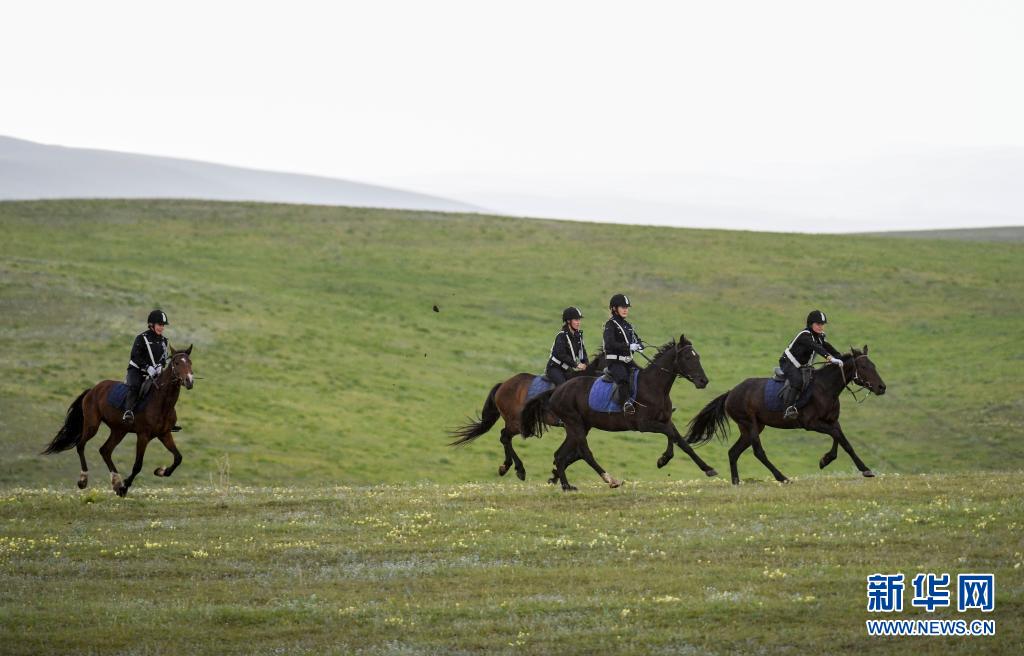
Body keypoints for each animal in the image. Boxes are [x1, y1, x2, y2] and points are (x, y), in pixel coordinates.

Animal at [44, 345, 196, 493]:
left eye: (190, 362)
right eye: (176, 363)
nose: (189, 381)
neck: (161, 402)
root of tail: (93, 389)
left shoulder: (164, 434)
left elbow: (178, 458)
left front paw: (160, 471)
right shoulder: (143, 436)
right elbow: (138, 465)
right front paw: (124, 487)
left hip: (119, 430)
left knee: (105, 450)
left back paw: (116, 481)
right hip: (92, 425)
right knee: (81, 445)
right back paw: (84, 480)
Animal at [444, 352, 602, 480]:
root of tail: (503, 385)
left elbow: (574, 452)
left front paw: (556, 473)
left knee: (505, 437)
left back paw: (506, 467)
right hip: (517, 423)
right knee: (504, 437)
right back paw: (518, 470)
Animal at [516, 335, 716, 489]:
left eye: (697, 356)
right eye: (688, 358)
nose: (703, 381)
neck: (654, 386)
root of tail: (557, 390)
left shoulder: (666, 420)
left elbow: (682, 442)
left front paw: (707, 468)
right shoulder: (644, 425)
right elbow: (670, 435)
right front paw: (664, 459)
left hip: (578, 427)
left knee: (560, 455)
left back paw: (566, 486)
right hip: (575, 425)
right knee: (584, 453)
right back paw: (610, 479)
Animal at [688, 345, 888, 483]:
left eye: (873, 365)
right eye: (864, 367)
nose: (881, 387)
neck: (825, 388)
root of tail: (731, 393)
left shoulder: (832, 421)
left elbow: (842, 441)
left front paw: (828, 460)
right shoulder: (812, 424)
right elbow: (839, 437)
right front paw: (859, 467)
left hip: (752, 427)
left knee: (733, 452)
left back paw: (736, 482)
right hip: (750, 424)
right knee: (758, 452)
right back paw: (782, 477)